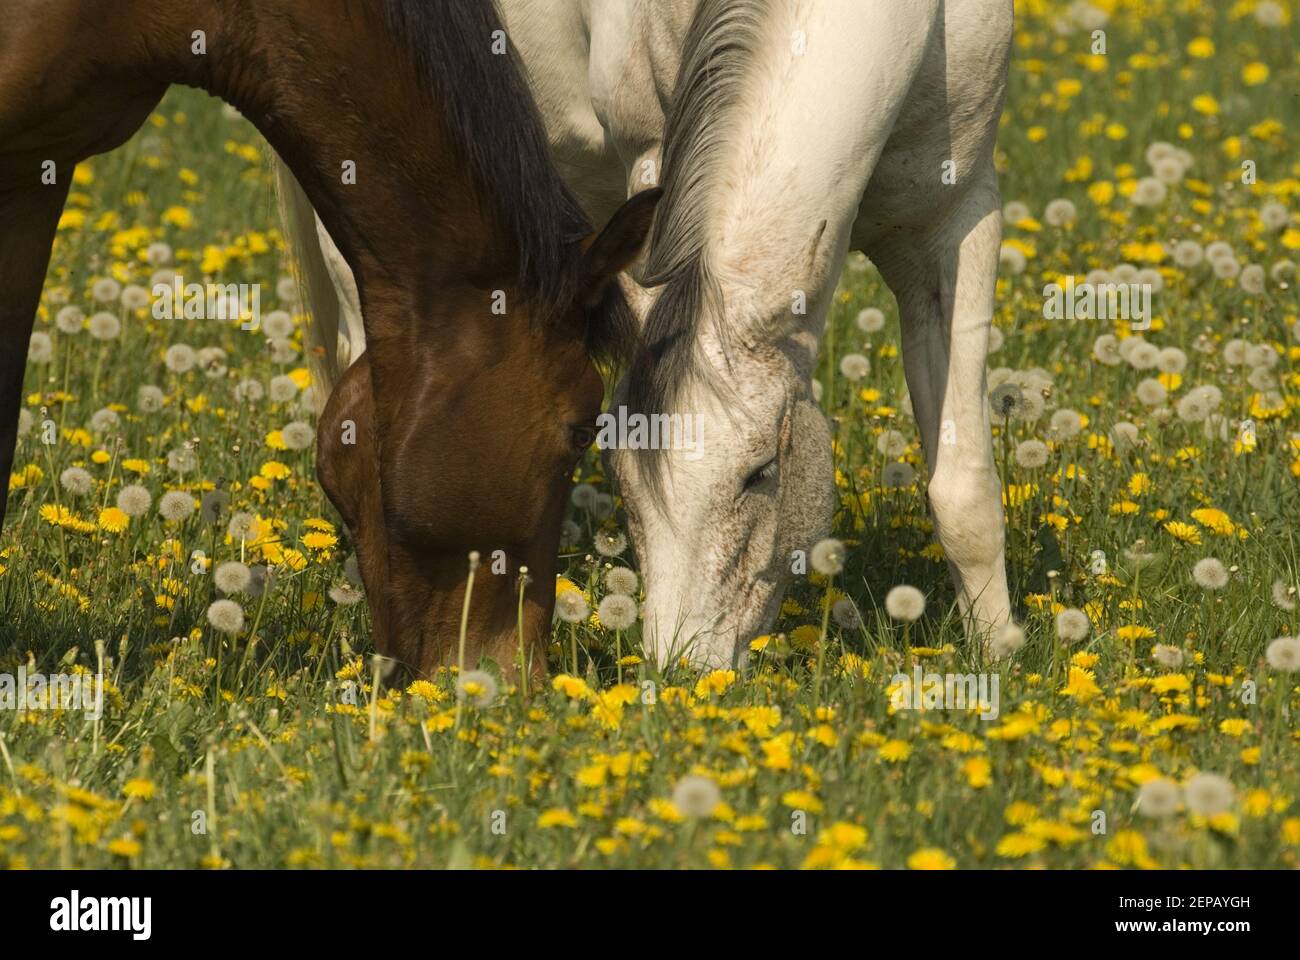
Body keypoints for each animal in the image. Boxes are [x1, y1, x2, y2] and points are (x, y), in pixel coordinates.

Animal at [279, 0, 1013, 671]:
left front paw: (997, 653)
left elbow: (964, 492)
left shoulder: (956, 223)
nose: (681, 673)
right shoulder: (654, 162)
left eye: (761, 473)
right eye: (619, 471)